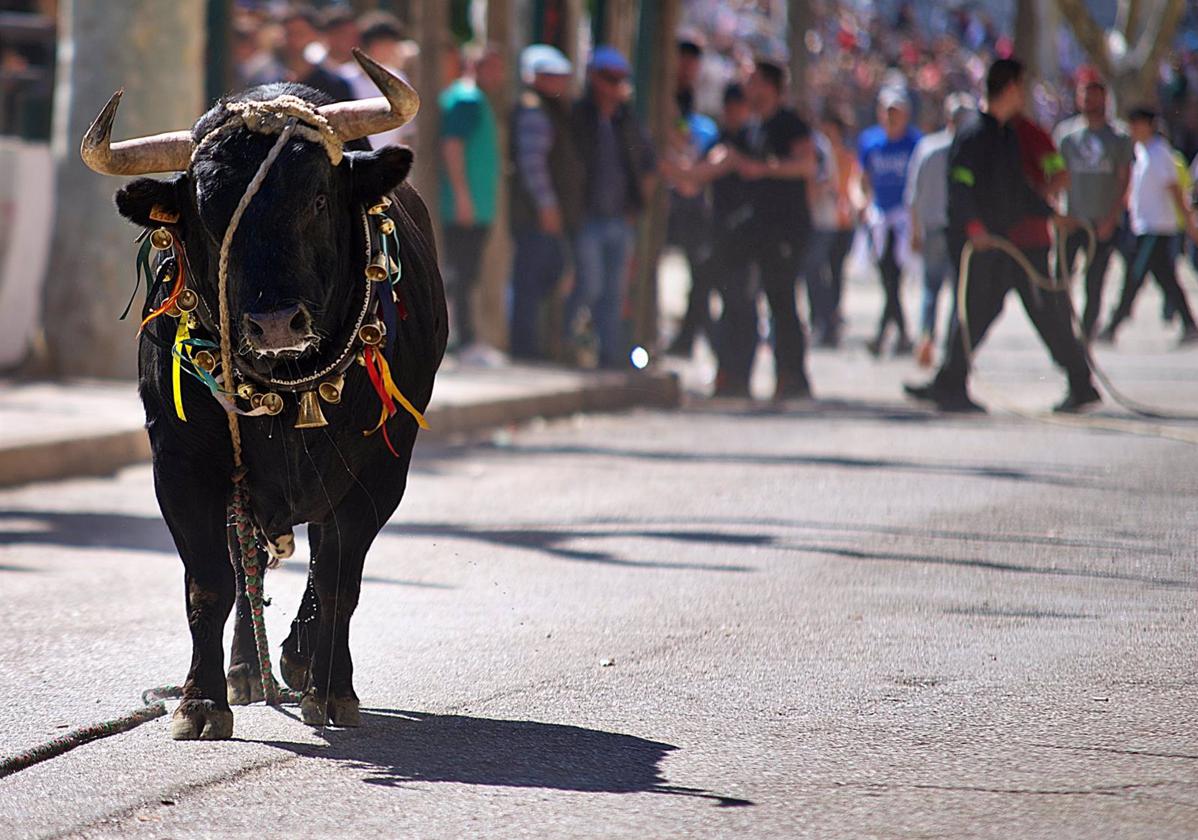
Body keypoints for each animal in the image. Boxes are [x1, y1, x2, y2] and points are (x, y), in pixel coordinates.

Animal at [103, 85, 448, 738]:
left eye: (316, 198)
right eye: (207, 212)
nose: (275, 324)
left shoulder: (380, 474)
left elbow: (339, 582)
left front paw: (332, 690)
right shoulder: (182, 466)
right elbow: (211, 582)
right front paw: (200, 702)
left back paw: (297, 661)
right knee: (247, 569)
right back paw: (245, 670)